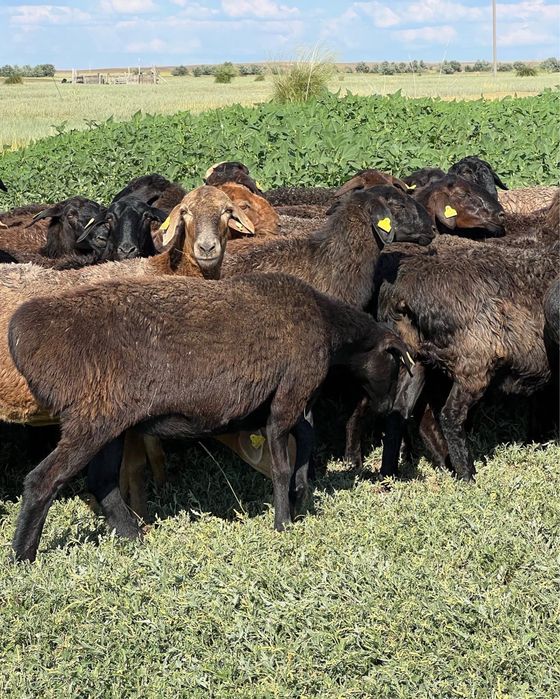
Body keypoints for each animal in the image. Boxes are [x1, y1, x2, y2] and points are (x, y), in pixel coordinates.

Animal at [8, 271, 413, 561]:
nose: (389, 409)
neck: (328, 328)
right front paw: (283, 524)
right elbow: (282, 465)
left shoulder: (287, 402)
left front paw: (301, 498)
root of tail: (20, 334)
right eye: (396, 363)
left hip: (110, 424)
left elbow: (307, 440)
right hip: (90, 420)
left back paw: (136, 539)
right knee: (42, 481)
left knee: (102, 482)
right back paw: (22, 558)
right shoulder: (288, 399)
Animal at [375, 234, 559, 481]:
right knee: (450, 416)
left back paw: (389, 476)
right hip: (474, 362)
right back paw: (468, 476)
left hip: (414, 359)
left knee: (398, 413)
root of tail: (401, 295)